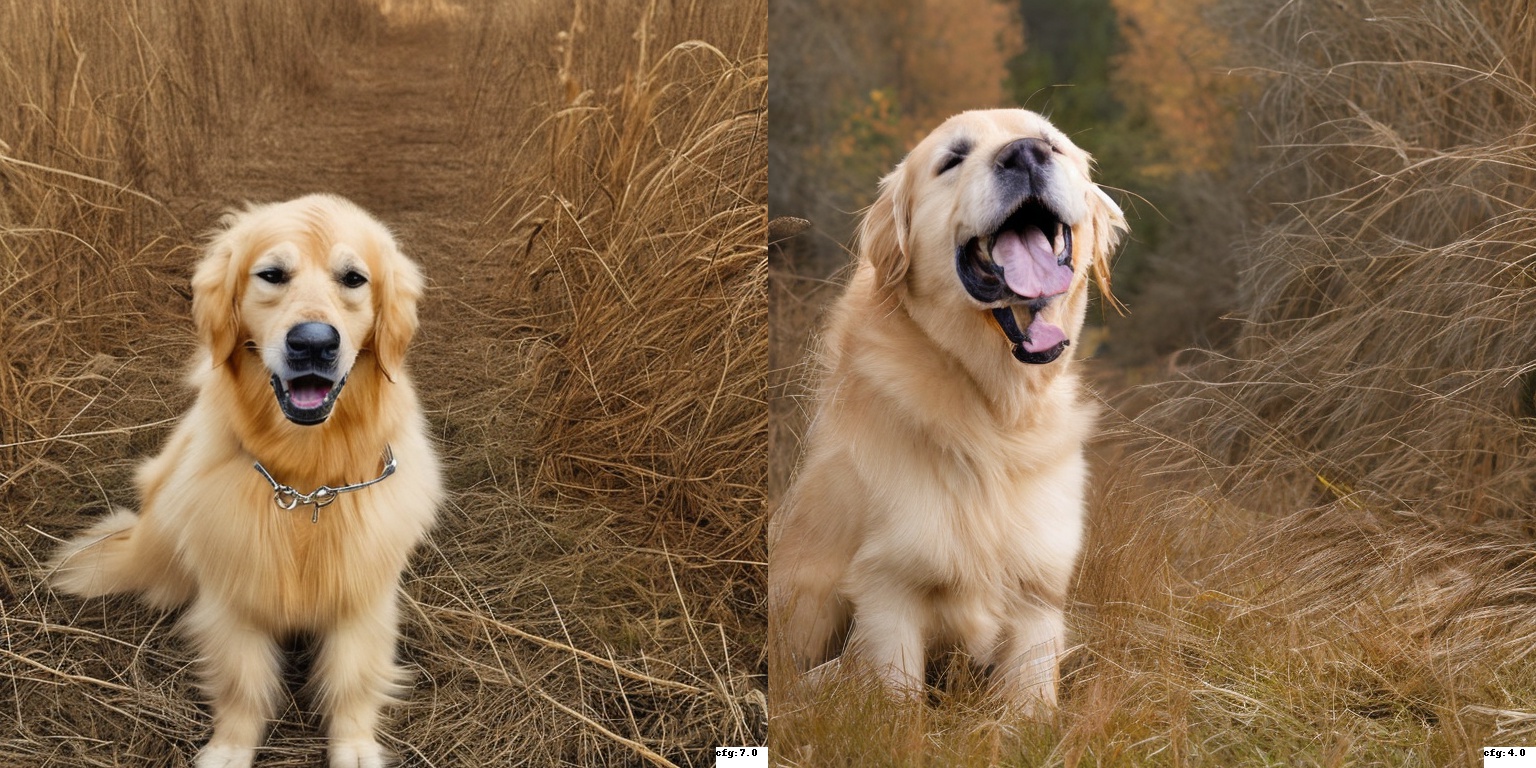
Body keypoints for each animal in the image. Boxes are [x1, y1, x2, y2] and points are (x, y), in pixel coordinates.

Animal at [48, 195, 442, 764]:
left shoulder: (362, 596)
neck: (306, 485)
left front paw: (355, 745)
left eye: (353, 279)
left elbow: (351, 680)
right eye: (272, 275)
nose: (313, 343)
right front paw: (231, 746)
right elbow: (243, 683)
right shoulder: (234, 593)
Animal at [774, 109, 1124, 712]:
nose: (1025, 154)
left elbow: (1028, 711)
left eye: (1053, 144)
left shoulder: (1039, 602)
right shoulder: (888, 593)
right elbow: (895, 704)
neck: (998, 409)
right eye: (953, 159)